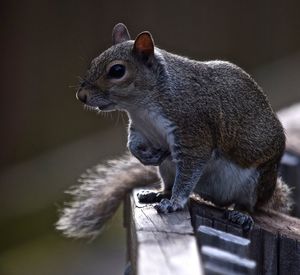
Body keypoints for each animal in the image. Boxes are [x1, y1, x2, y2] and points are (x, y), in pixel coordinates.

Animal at [55, 23, 292, 239]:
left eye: (117, 70)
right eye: (93, 62)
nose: (82, 96)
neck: (141, 106)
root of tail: (215, 198)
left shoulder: (193, 133)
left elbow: (189, 171)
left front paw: (175, 203)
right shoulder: (140, 130)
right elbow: (132, 145)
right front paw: (147, 157)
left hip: (255, 181)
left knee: (251, 205)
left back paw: (241, 213)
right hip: (168, 168)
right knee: (169, 183)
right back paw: (157, 193)